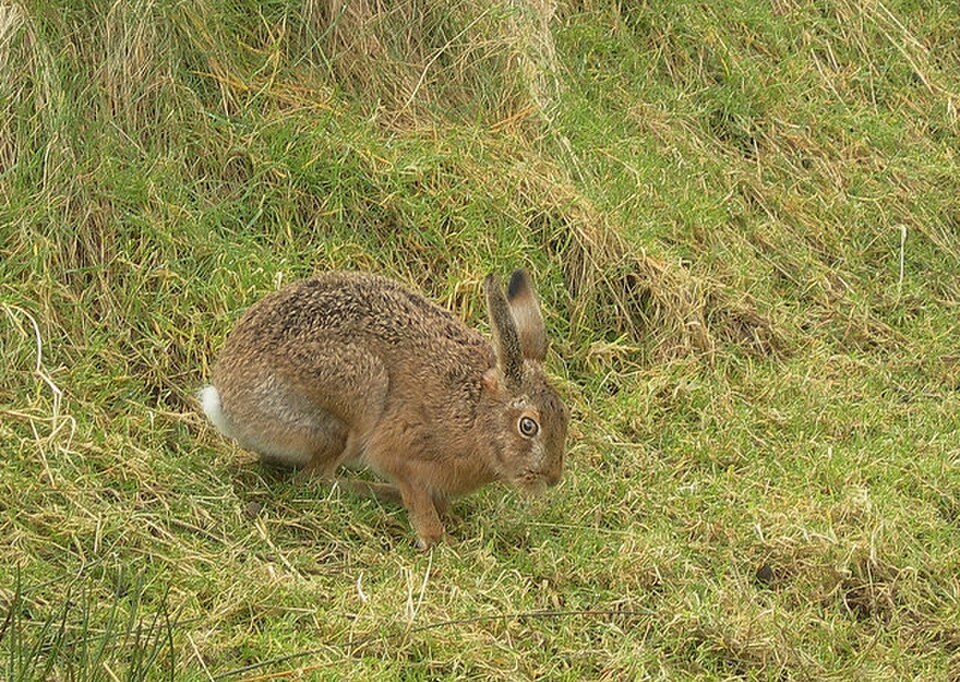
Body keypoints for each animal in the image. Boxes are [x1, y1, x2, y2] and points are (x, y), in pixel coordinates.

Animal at [200, 269, 569, 549]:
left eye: (564, 418)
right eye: (528, 426)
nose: (552, 479)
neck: (476, 414)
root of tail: (228, 403)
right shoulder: (402, 455)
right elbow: (415, 493)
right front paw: (435, 539)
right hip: (354, 403)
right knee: (316, 480)